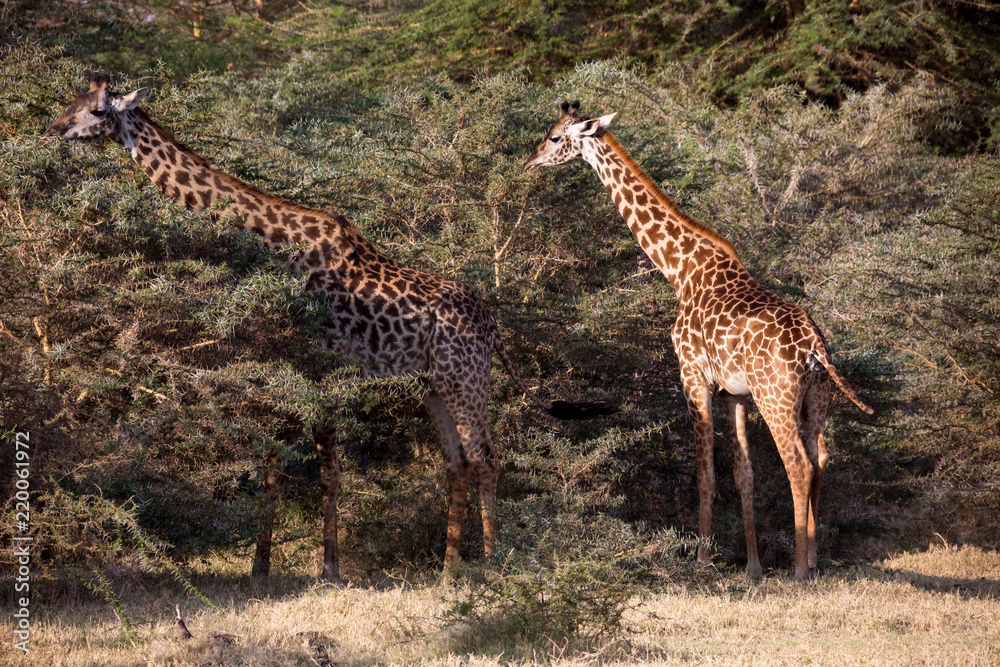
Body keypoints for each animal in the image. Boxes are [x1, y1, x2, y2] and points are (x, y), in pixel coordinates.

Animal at [45, 74, 616, 579]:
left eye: (95, 109)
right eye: (71, 100)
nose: (52, 129)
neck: (274, 242)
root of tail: (494, 326)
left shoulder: (322, 361)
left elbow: (327, 471)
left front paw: (330, 569)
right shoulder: (292, 359)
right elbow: (273, 463)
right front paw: (260, 569)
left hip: (465, 377)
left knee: (486, 458)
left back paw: (495, 565)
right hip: (433, 383)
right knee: (456, 462)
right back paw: (448, 573)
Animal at [524, 101, 873, 580]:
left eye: (556, 137)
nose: (529, 161)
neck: (679, 270)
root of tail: (813, 346)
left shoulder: (692, 375)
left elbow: (705, 470)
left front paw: (704, 558)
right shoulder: (735, 393)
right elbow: (742, 473)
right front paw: (752, 567)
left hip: (776, 396)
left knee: (798, 465)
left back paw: (800, 570)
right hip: (815, 399)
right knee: (820, 460)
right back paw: (815, 560)